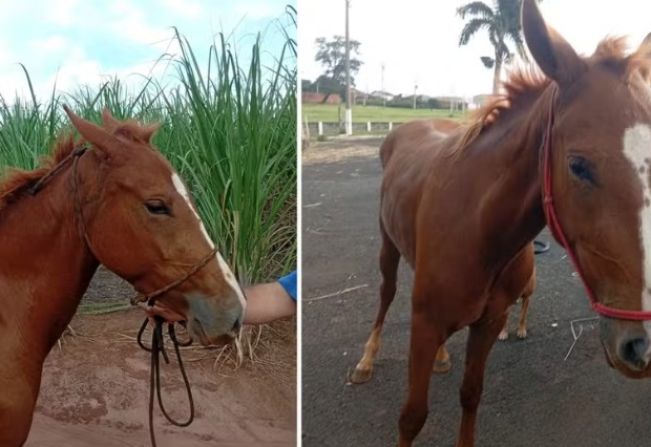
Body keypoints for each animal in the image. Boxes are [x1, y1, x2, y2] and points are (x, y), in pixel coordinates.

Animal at [350, 1, 651, 445]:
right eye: (578, 165)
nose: (643, 348)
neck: (479, 230)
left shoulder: (490, 322)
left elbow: (471, 394)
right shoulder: (423, 325)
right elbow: (412, 416)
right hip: (387, 247)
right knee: (386, 295)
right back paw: (367, 360)